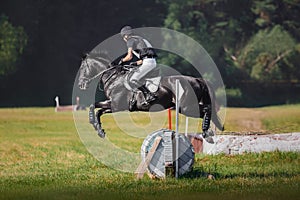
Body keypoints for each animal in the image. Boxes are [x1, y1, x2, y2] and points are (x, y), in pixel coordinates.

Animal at [77, 53, 223, 141]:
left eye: (83, 68)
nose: (80, 84)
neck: (114, 78)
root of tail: (197, 80)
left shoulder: (116, 105)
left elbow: (94, 106)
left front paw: (93, 123)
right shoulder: (114, 106)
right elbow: (98, 110)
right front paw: (99, 130)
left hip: (186, 107)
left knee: (207, 109)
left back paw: (206, 131)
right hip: (185, 107)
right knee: (207, 110)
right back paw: (209, 131)